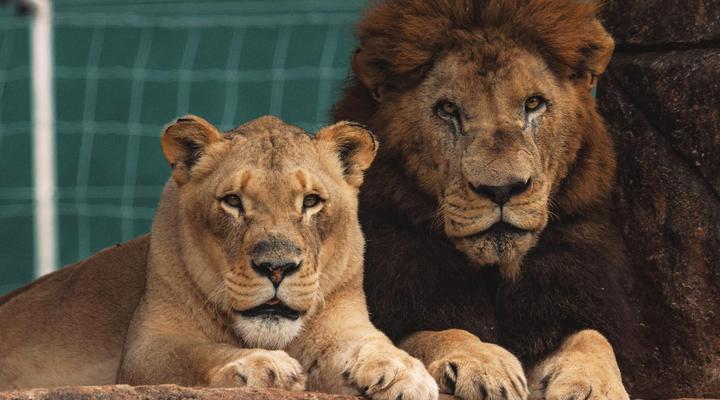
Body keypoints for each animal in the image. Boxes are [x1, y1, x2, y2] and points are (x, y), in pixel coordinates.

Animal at [1, 115, 438, 400]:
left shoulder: (345, 324)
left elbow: (374, 344)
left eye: (311, 201)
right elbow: (197, 353)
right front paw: (260, 366)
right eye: (233, 201)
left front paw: (404, 372)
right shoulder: (146, 349)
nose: (276, 267)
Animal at [333, 0, 643, 399]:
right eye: (448, 109)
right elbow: (437, 332)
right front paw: (483, 364)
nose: (501, 189)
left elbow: (592, 337)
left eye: (533, 103)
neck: (497, 272)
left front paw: (595, 382)